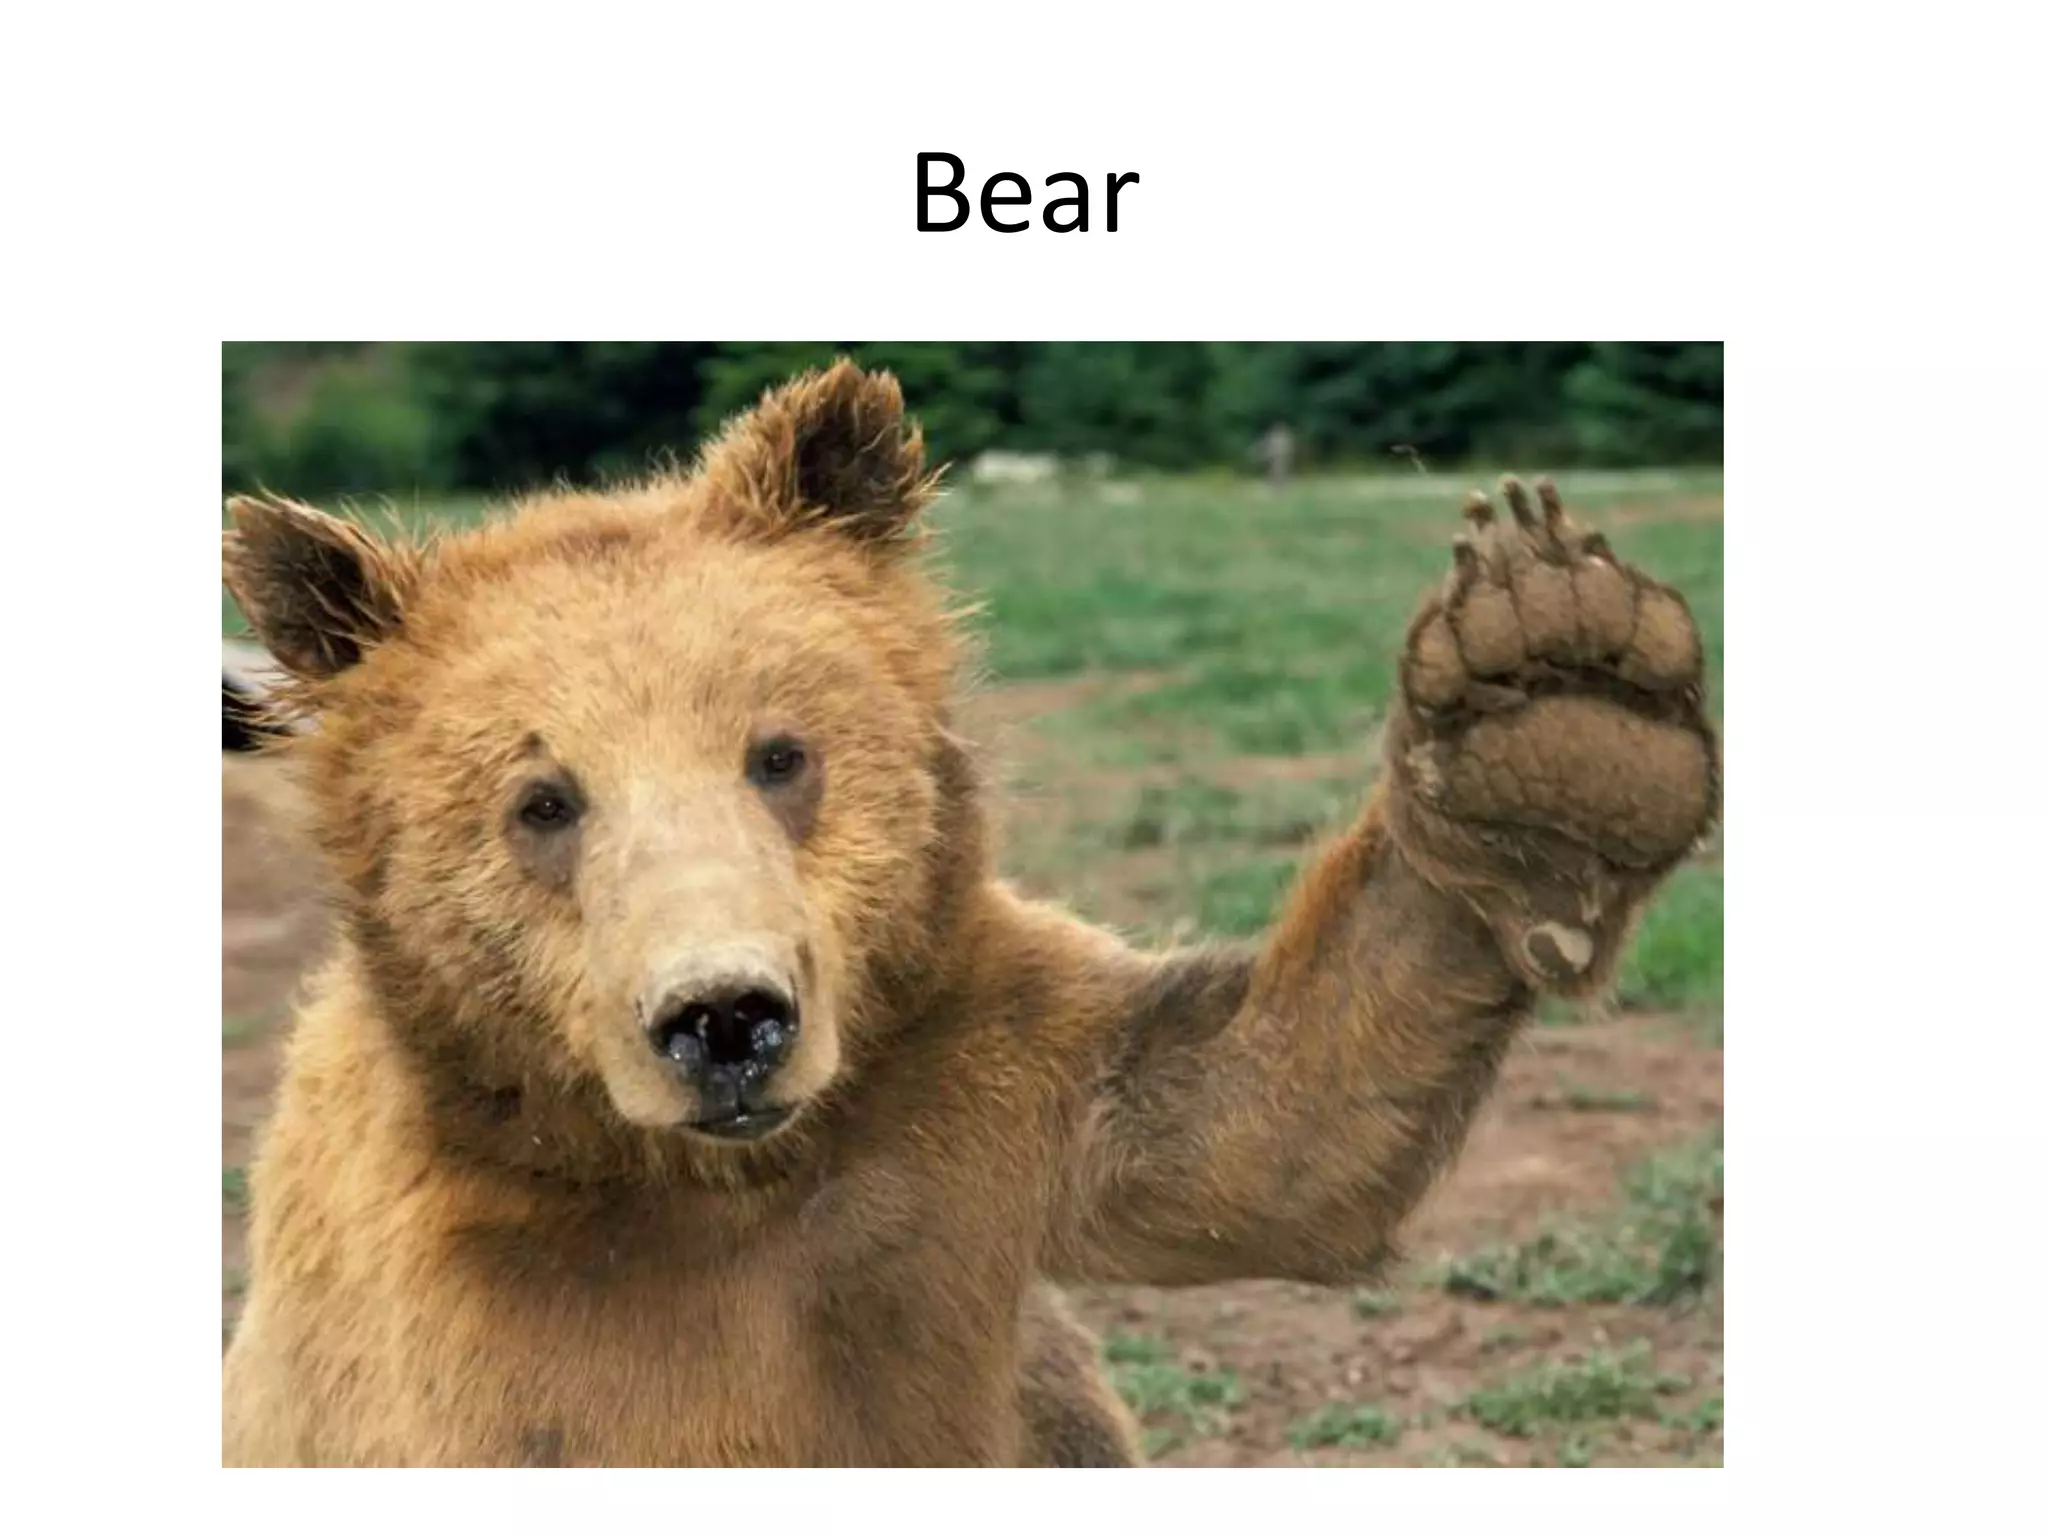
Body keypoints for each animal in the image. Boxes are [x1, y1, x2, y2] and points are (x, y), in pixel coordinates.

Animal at [220, 359, 1717, 1466]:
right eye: (542, 800)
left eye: (780, 752)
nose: (726, 1020)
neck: (706, 1185)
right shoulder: (475, 1323)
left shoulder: (961, 1101)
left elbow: (1256, 1128)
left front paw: (1556, 716)